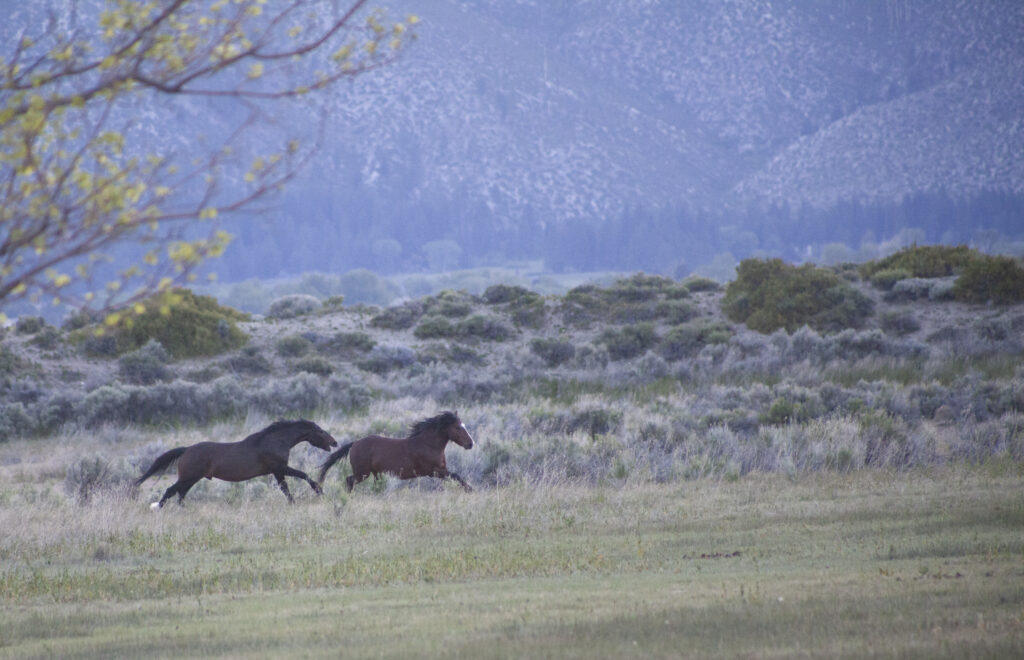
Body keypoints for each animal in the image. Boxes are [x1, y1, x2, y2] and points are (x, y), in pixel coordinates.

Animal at [136, 419, 338, 508]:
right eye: (320, 431)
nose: (335, 442)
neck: (274, 441)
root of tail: (186, 450)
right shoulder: (279, 468)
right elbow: (304, 475)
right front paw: (319, 491)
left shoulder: (277, 471)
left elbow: (285, 489)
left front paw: (293, 503)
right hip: (189, 476)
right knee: (172, 490)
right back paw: (159, 507)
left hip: (192, 478)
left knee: (180, 494)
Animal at [318, 411, 474, 492]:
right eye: (458, 428)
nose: (471, 444)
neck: (428, 444)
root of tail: (355, 443)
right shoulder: (433, 471)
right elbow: (456, 475)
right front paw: (470, 489)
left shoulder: (441, 470)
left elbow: (455, 476)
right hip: (362, 473)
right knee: (349, 480)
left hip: (374, 473)